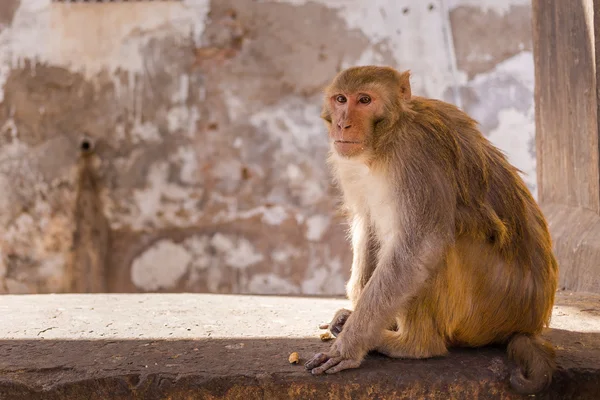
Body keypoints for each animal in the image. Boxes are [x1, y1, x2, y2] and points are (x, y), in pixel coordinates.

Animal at [308, 65, 560, 394]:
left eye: (364, 100)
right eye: (341, 99)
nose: (343, 124)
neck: (385, 141)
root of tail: (531, 323)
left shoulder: (417, 155)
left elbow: (420, 246)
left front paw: (351, 344)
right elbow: (370, 225)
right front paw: (353, 317)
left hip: (495, 307)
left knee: (442, 244)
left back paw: (413, 344)